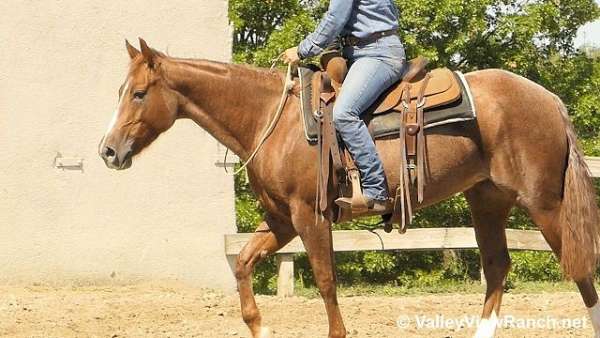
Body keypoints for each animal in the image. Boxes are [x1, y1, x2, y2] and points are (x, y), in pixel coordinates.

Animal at [99, 38, 600, 336]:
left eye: (139, 94)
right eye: (121, 91)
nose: (108, 151)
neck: (271, 119)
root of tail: (548, 98)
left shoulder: (309, 215)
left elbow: (325, 282)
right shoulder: (280, 220)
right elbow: (243, 264)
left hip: (545, 204)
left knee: (580, 271)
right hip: (488, 200)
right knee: (497, 270)